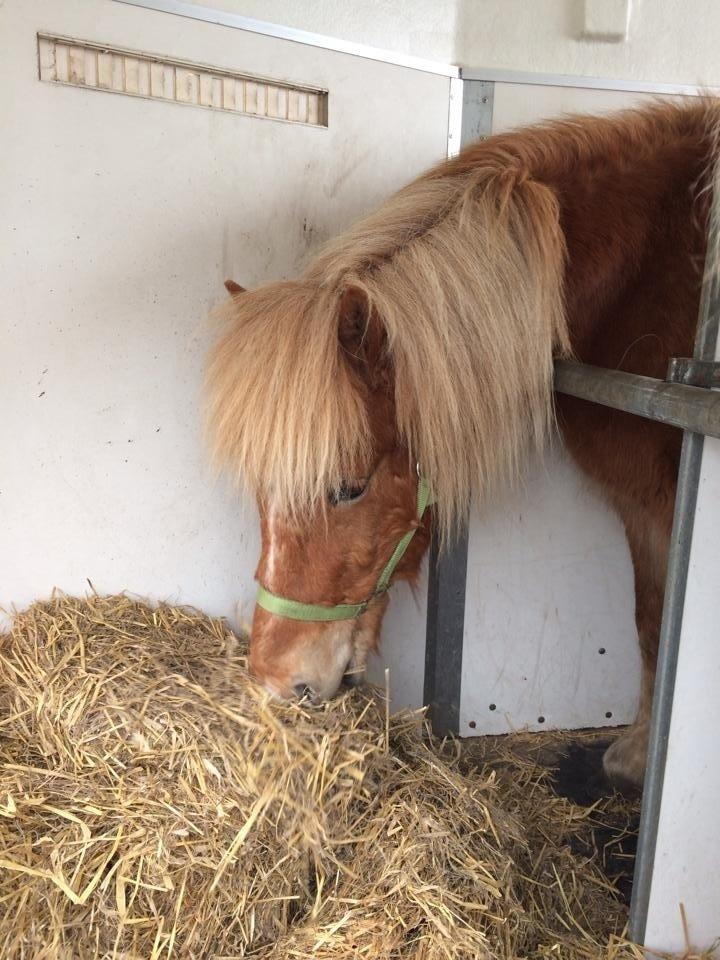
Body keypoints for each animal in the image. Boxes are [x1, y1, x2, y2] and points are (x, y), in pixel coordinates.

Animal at [205, 97, 716, 792]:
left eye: (348, 489)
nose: (275, 681)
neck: (646, 275)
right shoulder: (640, 503)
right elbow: (650, 616)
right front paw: (636, 754)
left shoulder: (666, 499)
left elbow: (666, 629)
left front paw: (637, 762)